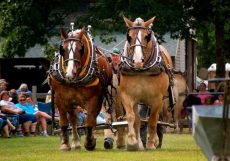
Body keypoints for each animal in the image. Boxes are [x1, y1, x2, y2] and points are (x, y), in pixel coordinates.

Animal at [119, 15, 173, 150]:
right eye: (129, 37)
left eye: (147, 37)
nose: (138, 61)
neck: (141, 70)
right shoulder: (127, 95)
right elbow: (131, 117)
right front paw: (133, 142)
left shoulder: (157, 98)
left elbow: (153, 120)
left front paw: (151, 144)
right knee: (139, 120)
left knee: (156, 119)